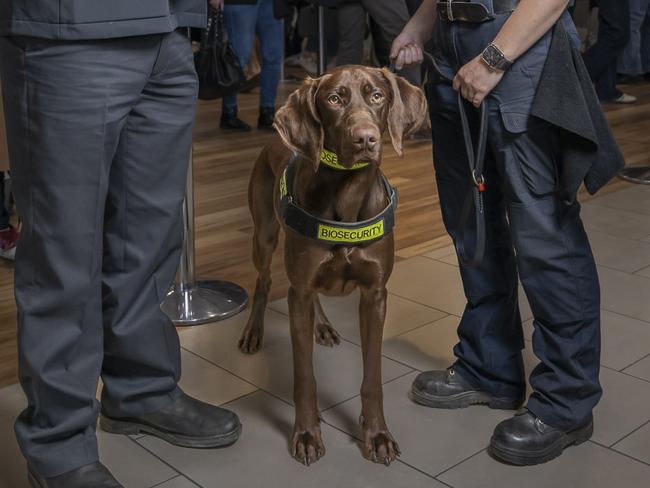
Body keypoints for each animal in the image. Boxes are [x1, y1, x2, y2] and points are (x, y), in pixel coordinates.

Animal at [238, 65, 426, 466]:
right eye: (334, 99)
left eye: (377, 96)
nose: (366, 139)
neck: (347, 193)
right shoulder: (299, 291)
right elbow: (304, 377)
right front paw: (307, 434)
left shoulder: (374, 295)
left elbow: (373, 377)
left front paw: (377, 435)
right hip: (264, 234)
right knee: (264, 281)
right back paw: (253, 332)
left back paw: (322, 326)